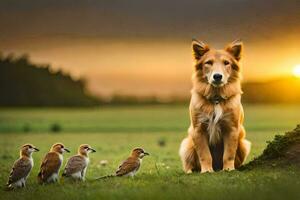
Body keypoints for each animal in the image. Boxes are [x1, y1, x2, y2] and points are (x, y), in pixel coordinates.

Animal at [179, 39, 252, 173]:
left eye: (226, 63)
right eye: (208, 62)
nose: (217, 76)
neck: (216, 98)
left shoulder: (231, 129)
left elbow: (229, 154)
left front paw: (228, 169)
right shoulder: (198, 129)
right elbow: (205, 154)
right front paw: (207, 170)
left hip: (243, 144)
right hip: (187, 144)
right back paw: (190, 171)